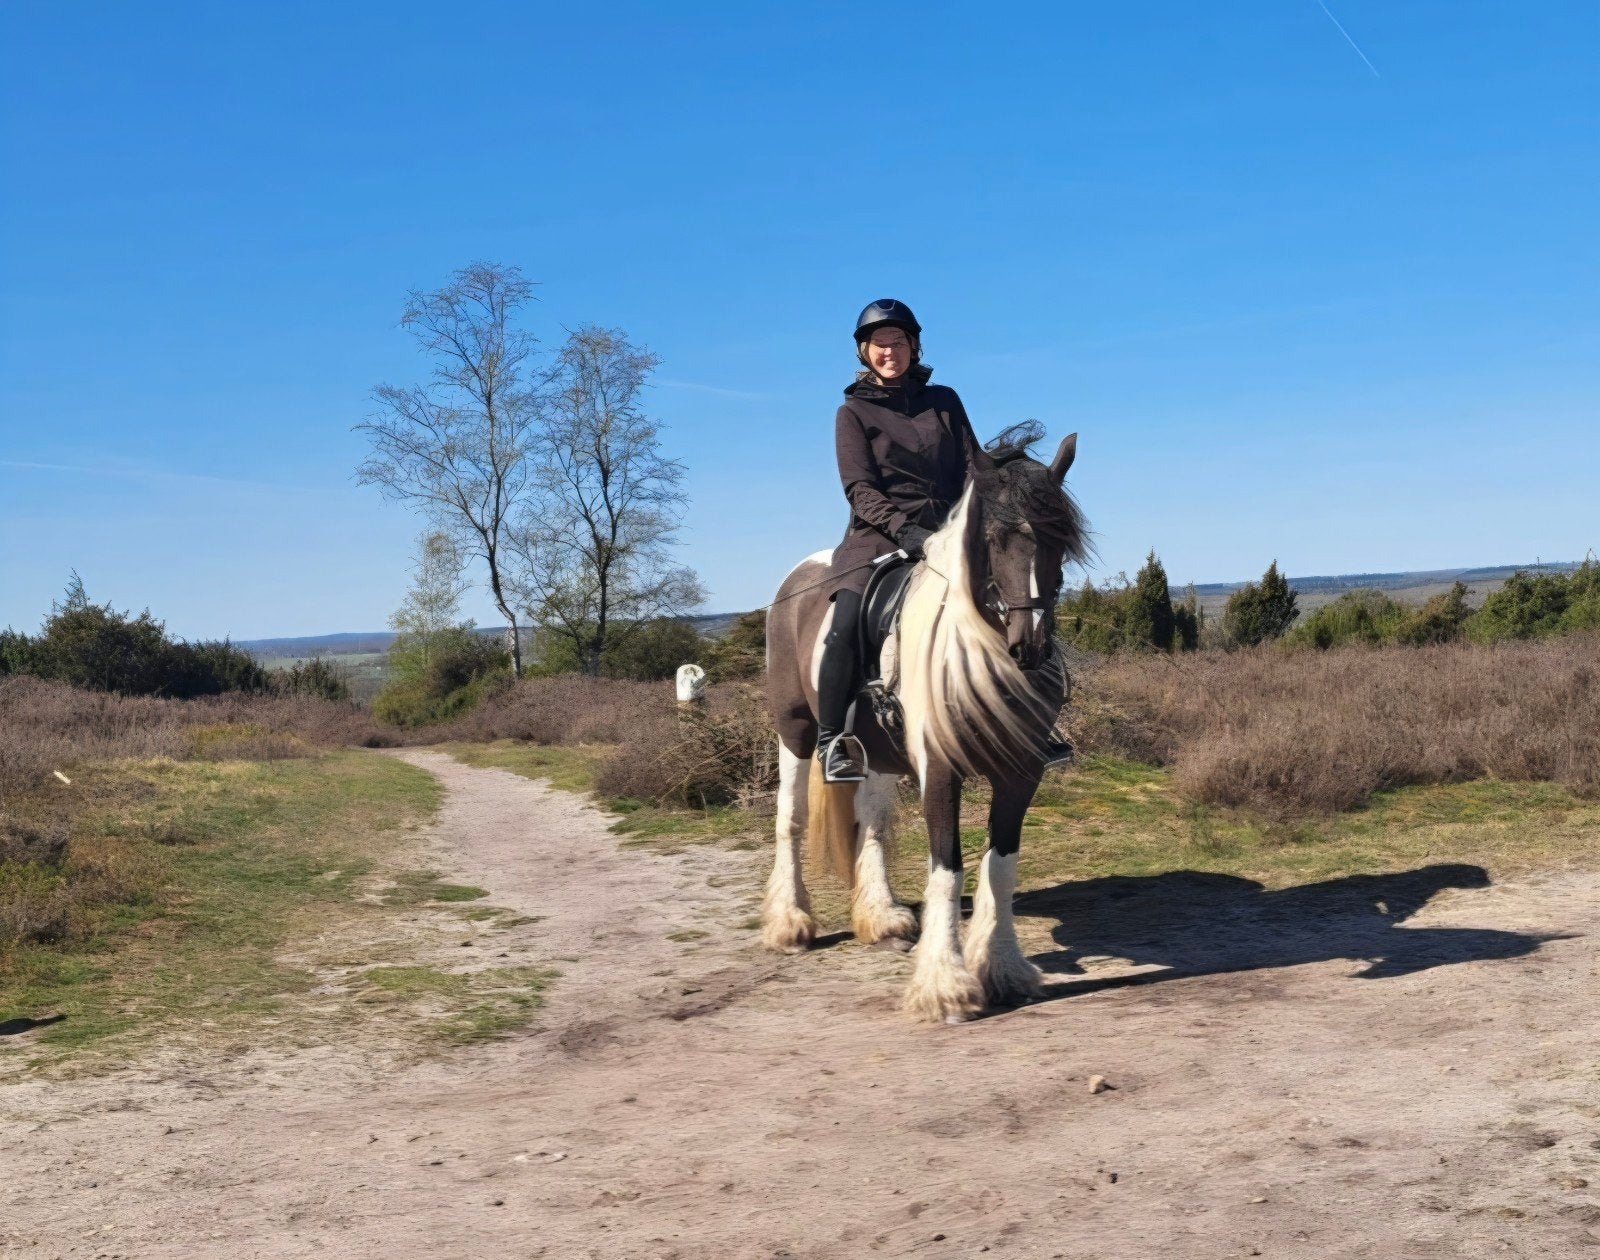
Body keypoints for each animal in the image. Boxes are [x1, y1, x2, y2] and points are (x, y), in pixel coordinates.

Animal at [762, 425, 1088, 1022]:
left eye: (1062, 539)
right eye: (995, 539)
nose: (1030, 648)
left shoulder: (1021, 773)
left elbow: (1000, 867)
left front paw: (1002, 969)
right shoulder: (940, 769)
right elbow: (947, 869)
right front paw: (945, 986)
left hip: (876, 750)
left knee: (871, 822)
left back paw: (881, 918)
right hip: (794, 731)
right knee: (790, 819)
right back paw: (789, 923)